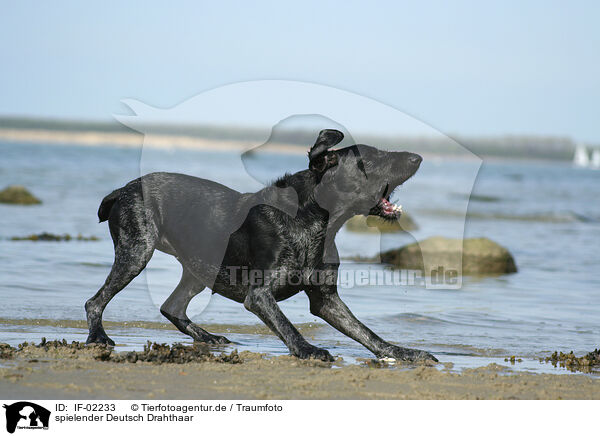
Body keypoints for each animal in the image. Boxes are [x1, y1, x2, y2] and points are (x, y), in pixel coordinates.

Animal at [85, 129, 436, 362]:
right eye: (371, 159)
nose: (418, 157)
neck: (318, 222)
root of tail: (122, 190)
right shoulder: (259, 295)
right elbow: (287, 325)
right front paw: (308, 349)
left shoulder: (325, 299)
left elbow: (366, 332)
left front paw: (404, 352)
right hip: (137, 251)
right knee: (95, 302)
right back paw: (98, 337)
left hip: (199, 270)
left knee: (172, 306)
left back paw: (208, 336)